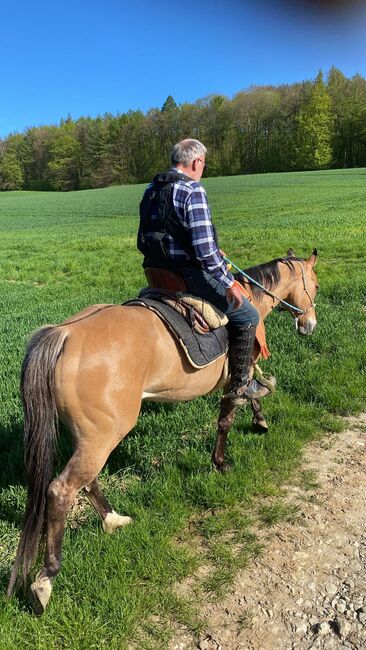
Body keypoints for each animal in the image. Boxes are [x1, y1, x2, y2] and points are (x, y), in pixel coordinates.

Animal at [7, 247, 318, 608]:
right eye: (315, 284)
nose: (309, 324)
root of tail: (65, 334)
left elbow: (251, 392)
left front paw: (259, 419)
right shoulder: (238, 372)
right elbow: (229, 413)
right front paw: (221, 462)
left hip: (89, 435)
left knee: (86, 480)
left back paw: (113, 519)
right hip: (103, 434)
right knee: (61, 490)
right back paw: (46, 580)